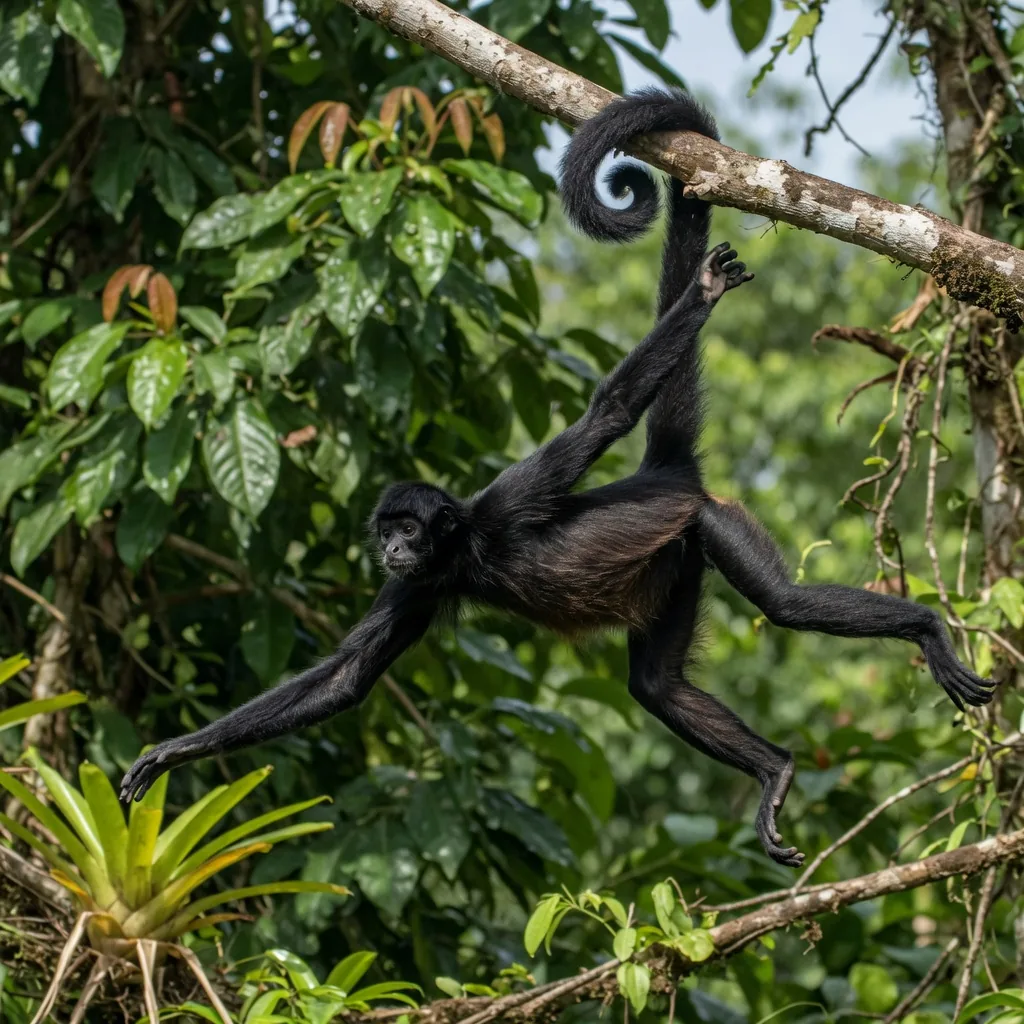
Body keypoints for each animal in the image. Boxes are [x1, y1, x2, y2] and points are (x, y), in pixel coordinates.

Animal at [120, 90, 994, 867]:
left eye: (406, 527)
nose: (392, 548)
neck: (466, 547)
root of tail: (667, 475)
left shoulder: (506, 502)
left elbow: (605, 416)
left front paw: (704, 295)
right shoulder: (421, 585)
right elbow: (343, 681)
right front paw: (173, 752)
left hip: (706, 521)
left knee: (783, 605)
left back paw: (923, 630)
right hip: (674, 565)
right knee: (655, 686)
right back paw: (775, 770)